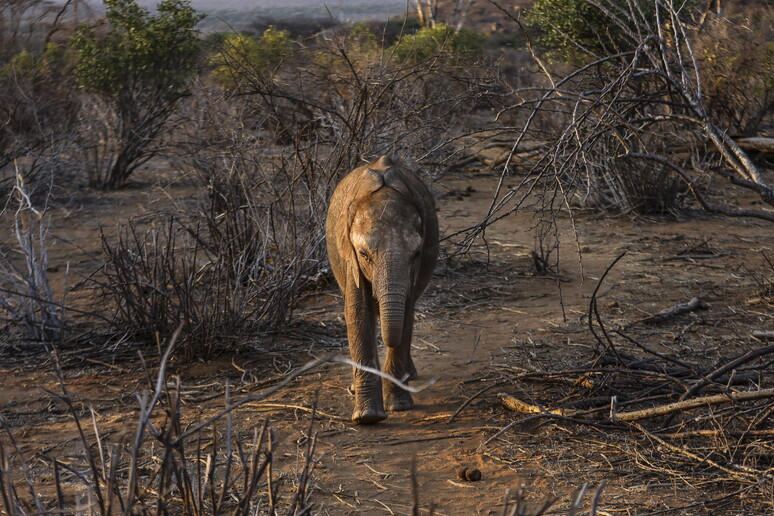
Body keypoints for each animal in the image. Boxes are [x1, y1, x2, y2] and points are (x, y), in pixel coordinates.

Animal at [324, 156, 440, 424]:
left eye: (416, 254)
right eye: (364, 254)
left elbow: (406, 314)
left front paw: (398, 406)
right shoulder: (350, 260)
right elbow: (358, 314)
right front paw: (368, 417)